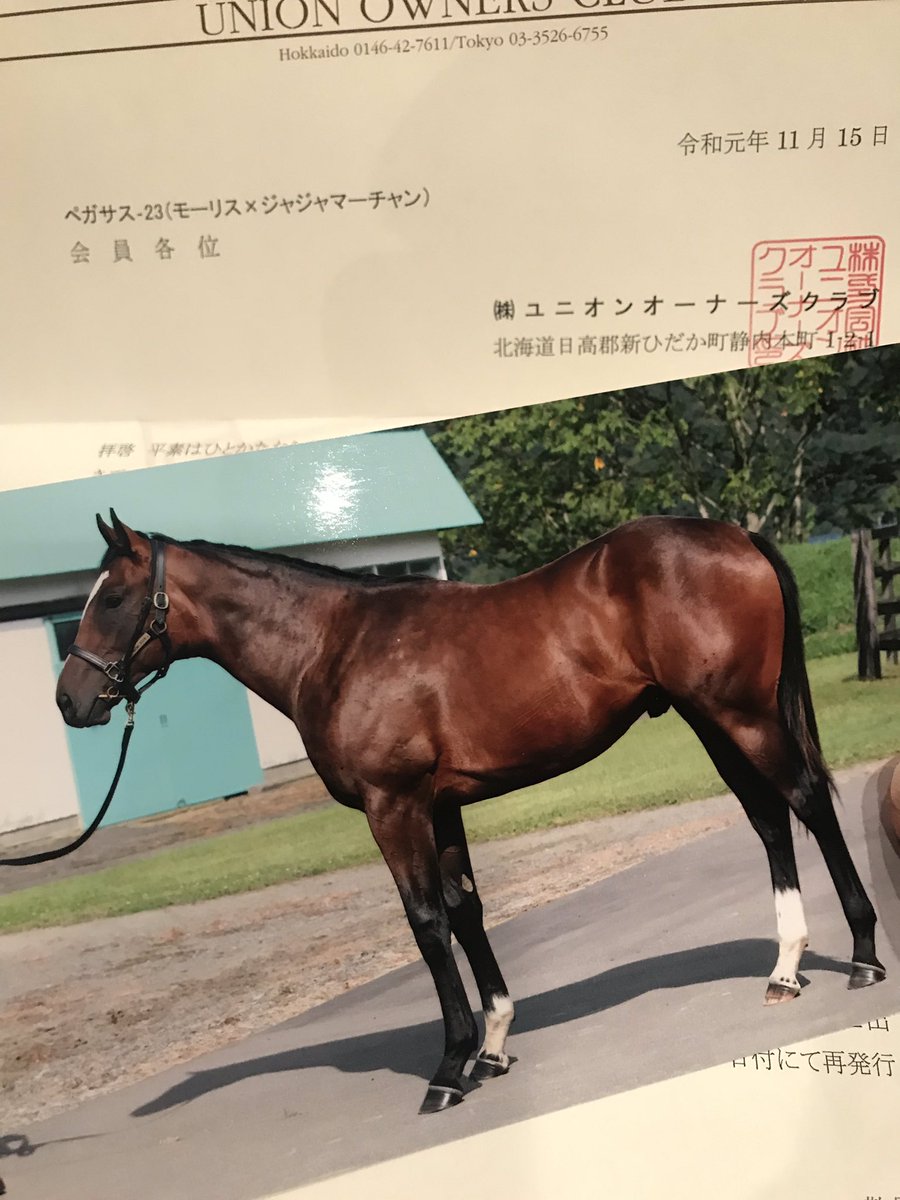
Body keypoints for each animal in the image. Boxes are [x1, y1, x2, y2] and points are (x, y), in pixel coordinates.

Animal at [55, 510, 885, 1114]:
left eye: (113, 598)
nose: (70, 700)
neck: (334, 645)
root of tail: (734, 533)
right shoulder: (440, 804)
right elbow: (465, 909)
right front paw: (494, 1044)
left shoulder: (393, 807)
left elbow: (425, 921)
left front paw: (450, 1066)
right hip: (710, 718)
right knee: (768, 817)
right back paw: (785, 968)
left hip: (739, 714)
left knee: (807, 801)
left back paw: (863, 955)